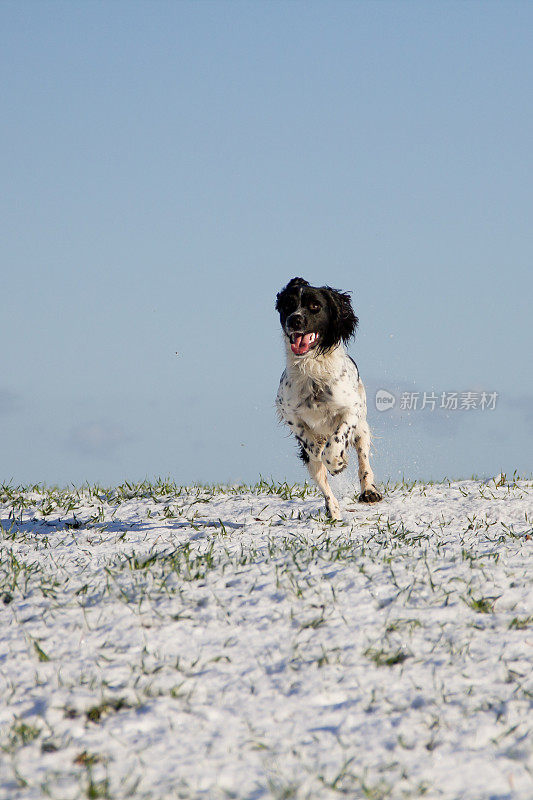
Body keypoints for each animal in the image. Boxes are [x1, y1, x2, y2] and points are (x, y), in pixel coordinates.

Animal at [274, 278, 382, 520]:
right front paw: (324, 453)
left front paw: (337, 462)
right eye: (288, 304)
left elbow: (336, 442)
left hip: (362, 429)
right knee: (322, 480)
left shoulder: (351, 409)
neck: (313, 371)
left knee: (363, 461)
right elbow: (312, 446)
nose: (294, 319)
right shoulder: (288, 412)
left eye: (315, 306)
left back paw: (369, 492)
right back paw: (333, 511)